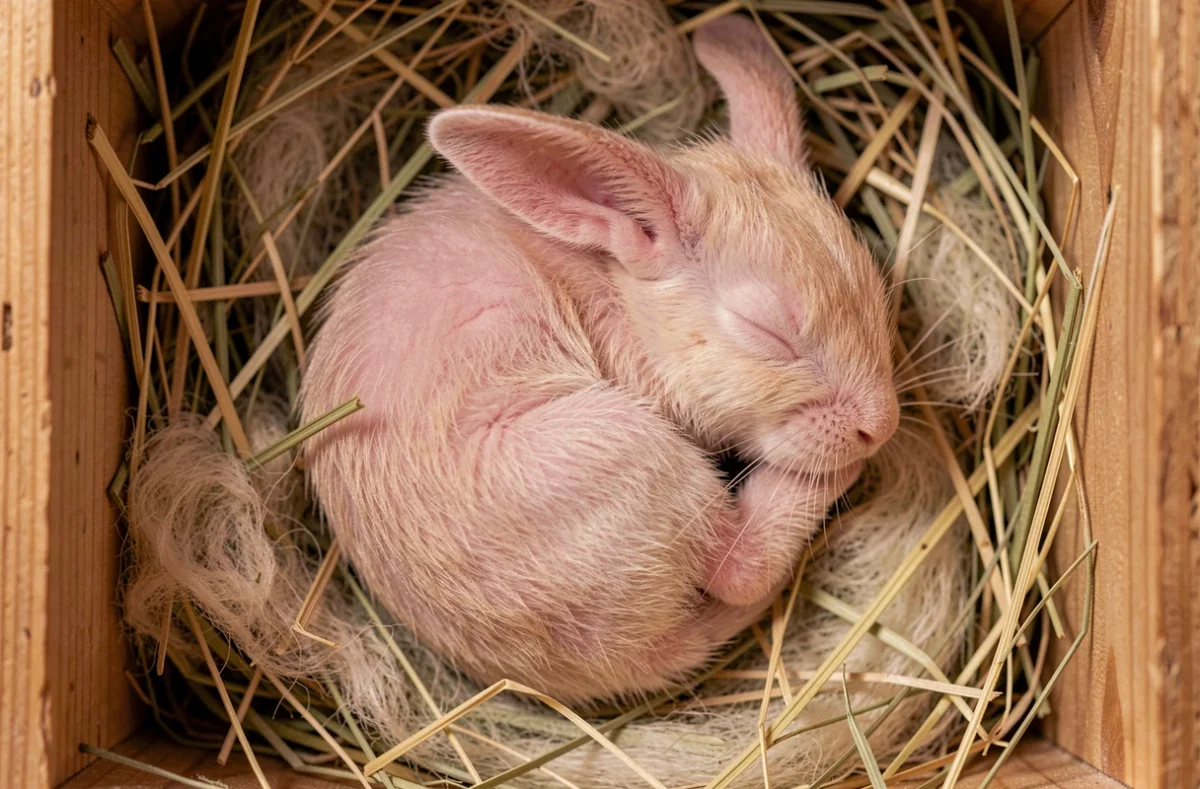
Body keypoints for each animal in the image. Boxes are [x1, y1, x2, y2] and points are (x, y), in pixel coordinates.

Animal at [299, 14, 899, 704]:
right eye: (766, 331)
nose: (883, 427)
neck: (624, 296)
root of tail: (617, 662)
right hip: (629, 449)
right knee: (735, 569)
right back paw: (829, 479)